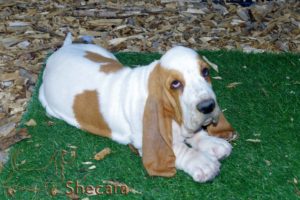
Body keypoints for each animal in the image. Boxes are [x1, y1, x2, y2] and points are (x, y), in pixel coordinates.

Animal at [38, 33, 236, 183]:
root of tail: (60, 51)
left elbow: (196, 135)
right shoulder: (144, 140)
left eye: (205, 72)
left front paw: (213, 143)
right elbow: (179, 149)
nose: (208, 106)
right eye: (175, 84)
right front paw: (202, 163)